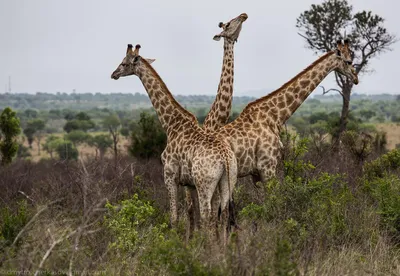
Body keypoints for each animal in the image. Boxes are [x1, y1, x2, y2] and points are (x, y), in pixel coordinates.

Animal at [111, 43, 238, 239]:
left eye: (124, 63)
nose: (114, 74)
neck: (171, 124)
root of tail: (225, 157)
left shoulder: (170, 175)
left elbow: (174, 218)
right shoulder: (189, 183)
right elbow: (191, 215)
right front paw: (189, 241)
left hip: (205, 184)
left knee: (208, 216)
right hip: (227, 181)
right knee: (222, 216)